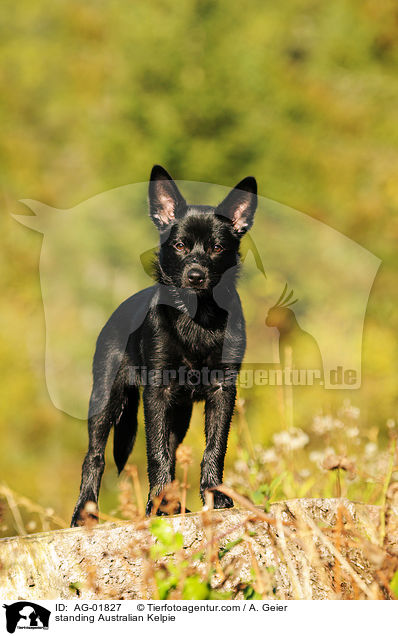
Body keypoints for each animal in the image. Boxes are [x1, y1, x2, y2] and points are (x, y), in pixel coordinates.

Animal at [70, 165, 258, 528]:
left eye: (217, 247)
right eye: (181, 245)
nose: (196, 275)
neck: (197, 317)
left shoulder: (222, 390)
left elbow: (214, 447)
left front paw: (215, 496)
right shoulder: (157, 390)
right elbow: (156, 452)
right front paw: (159, 508)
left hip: (179, 414)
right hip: (106, 397)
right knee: (94, 455)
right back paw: (85, 512)